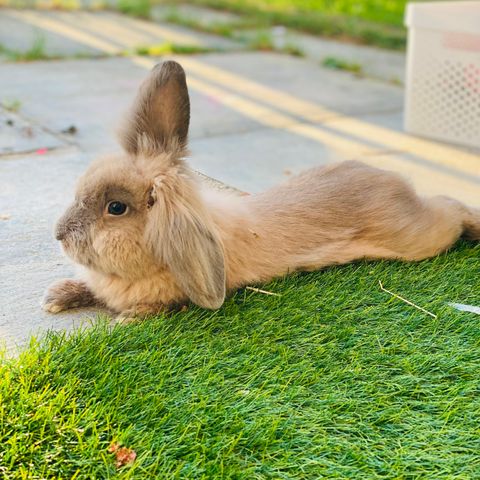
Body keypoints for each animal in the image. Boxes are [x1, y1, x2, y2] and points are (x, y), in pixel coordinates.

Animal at [43, 61, 478, 322]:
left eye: (116, 207)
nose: (59, 234)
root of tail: (396, 180)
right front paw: (55, 297)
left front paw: (127, 319)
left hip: (419, 236)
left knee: (451, 208)